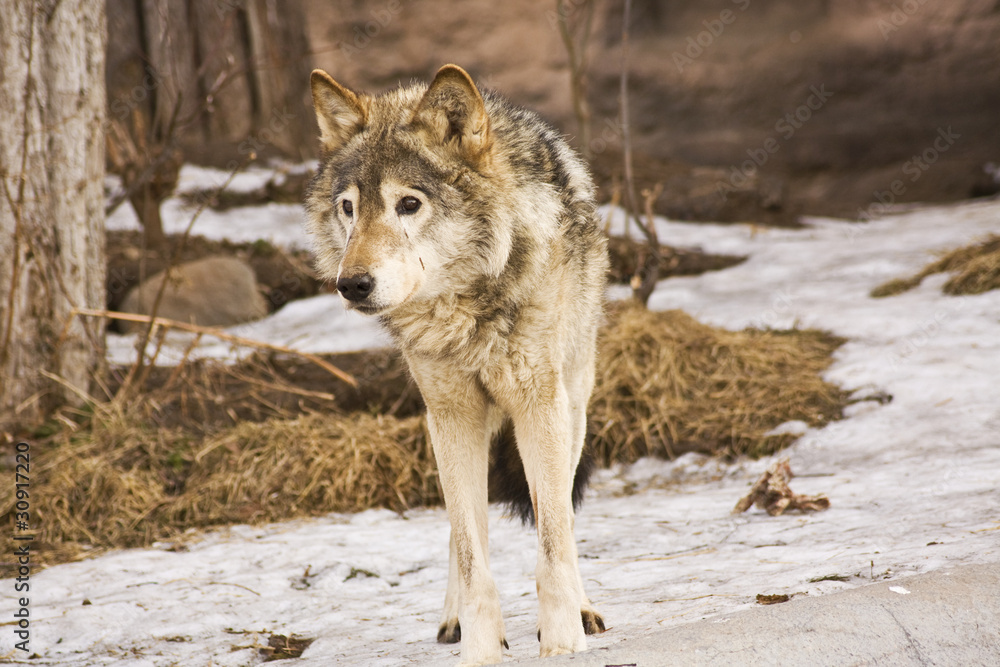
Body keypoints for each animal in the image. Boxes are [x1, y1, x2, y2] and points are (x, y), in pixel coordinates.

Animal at [305, 64, 609, 665]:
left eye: (408, 204)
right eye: (349, 208)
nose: (352, 284)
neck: (462, 313)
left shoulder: (539, 406)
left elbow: (553, 542)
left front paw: (563, 641)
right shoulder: (452, 415)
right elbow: (471, 555)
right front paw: (480, 647)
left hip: (572, 407)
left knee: (561, 510)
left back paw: (584, 611)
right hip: (446, 429)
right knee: (460, 529)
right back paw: (451, 621)